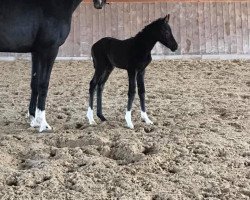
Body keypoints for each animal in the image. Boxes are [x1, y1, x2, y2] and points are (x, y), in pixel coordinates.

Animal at [0, 0, 105, 132]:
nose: (100, 3)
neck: (55, 5)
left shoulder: (36, 52)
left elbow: (35, 84)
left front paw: (33, 120)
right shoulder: (50, 50)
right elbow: (44, 85)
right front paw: (43, 124)